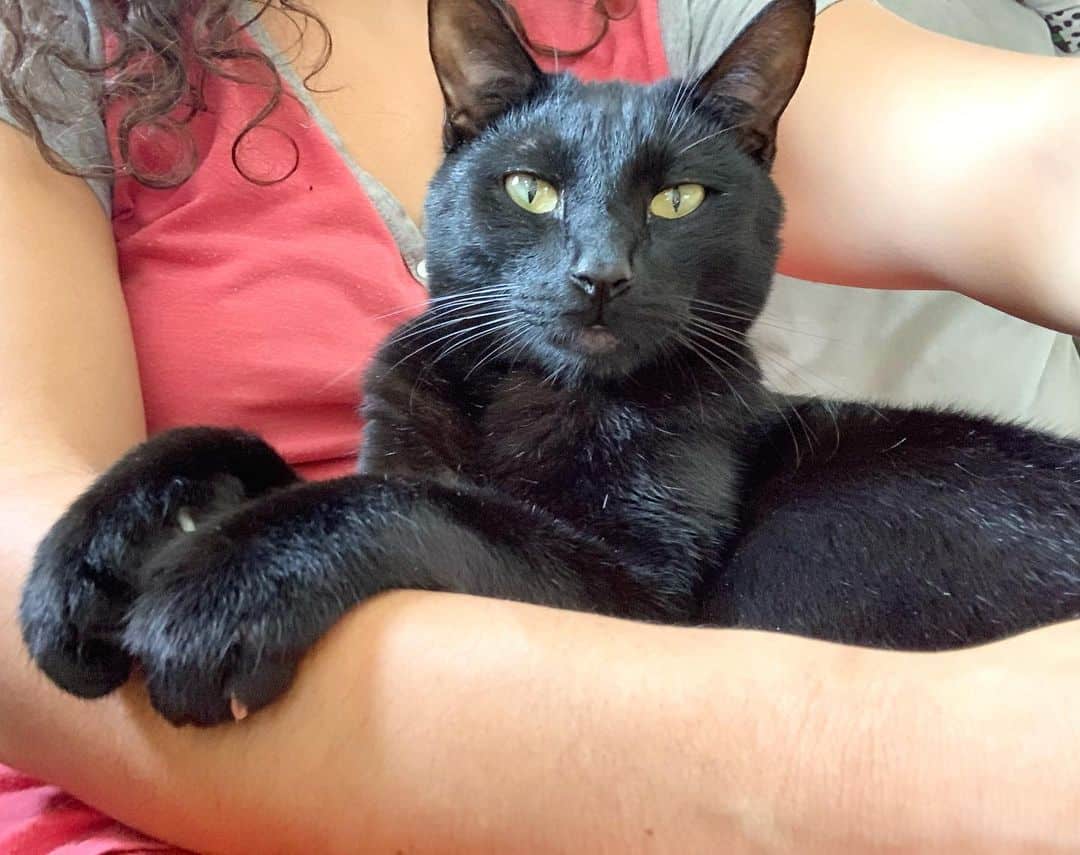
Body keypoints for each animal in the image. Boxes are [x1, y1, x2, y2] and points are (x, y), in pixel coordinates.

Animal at [16, 0, 1080, 725]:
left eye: (679, 200)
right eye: (531, 189)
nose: (599, 273)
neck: (529, 393)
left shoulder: (635, 603)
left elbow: (423, 502)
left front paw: (219, 582)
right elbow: (256, 451)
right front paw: (93, 552)